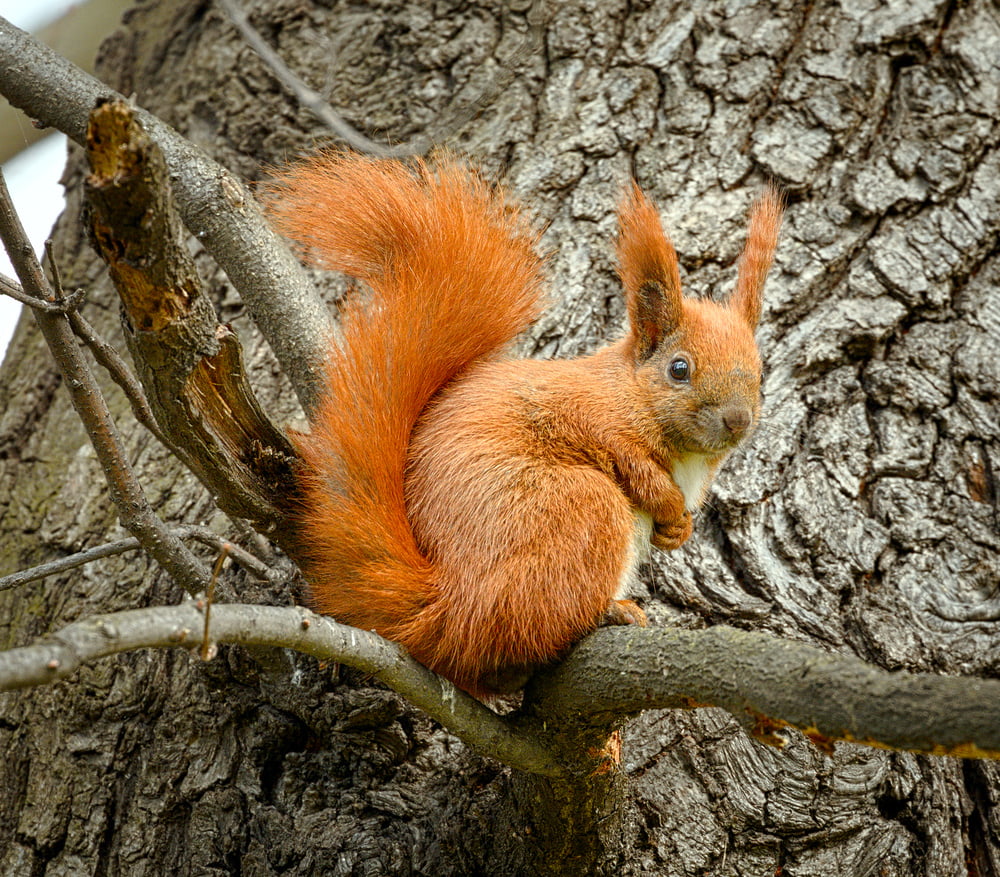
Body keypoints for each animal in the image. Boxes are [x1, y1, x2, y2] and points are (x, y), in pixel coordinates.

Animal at [267, 153, 782, 697]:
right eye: (679, 369)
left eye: (761, 370)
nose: (737, 420)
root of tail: (449, 609)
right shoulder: (590, 418)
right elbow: (636, 469)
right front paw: (668, 507)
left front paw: (677, 532)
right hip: (578, 510)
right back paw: (608, 613)